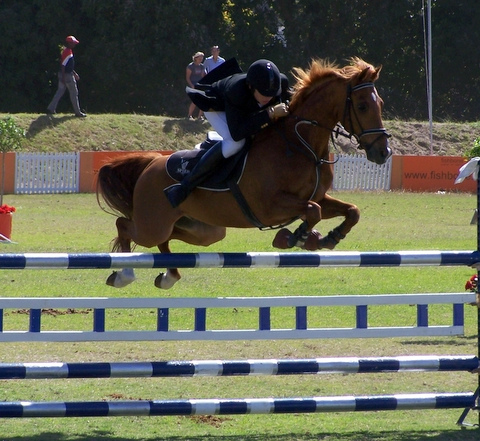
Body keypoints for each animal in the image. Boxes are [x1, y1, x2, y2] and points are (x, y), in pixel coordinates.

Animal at [96, 57, 391, 289]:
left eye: (380, 103)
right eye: (362, 106)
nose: (383, 152)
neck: (301, 144)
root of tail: (152, 163)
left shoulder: (318, 197)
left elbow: (351, 210)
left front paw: (330, 238)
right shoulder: (270, 207)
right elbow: (312, 211)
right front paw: (294, 237)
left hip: (203, 230)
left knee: (166, 240)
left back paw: (169, 275)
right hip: (153, 224)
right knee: (125, 226)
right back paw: (124, 274)